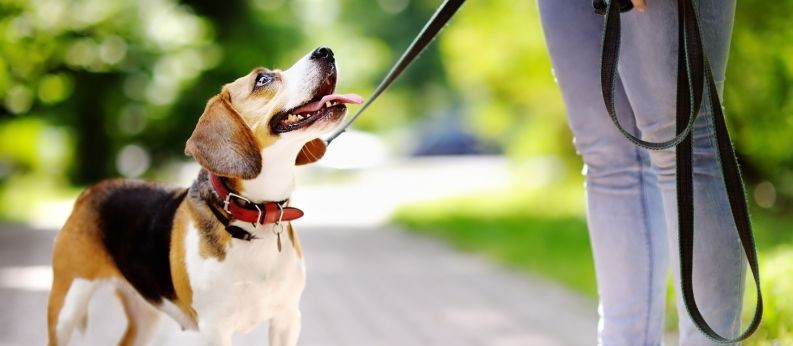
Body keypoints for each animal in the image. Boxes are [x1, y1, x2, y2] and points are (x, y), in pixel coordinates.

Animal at [46, 46, 362, 346]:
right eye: (262, 79)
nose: (325, 51)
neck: (254, 214)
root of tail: (91, 190)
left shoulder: (287, 318)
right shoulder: (216, 328)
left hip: (145, 315)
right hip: (66, 306)